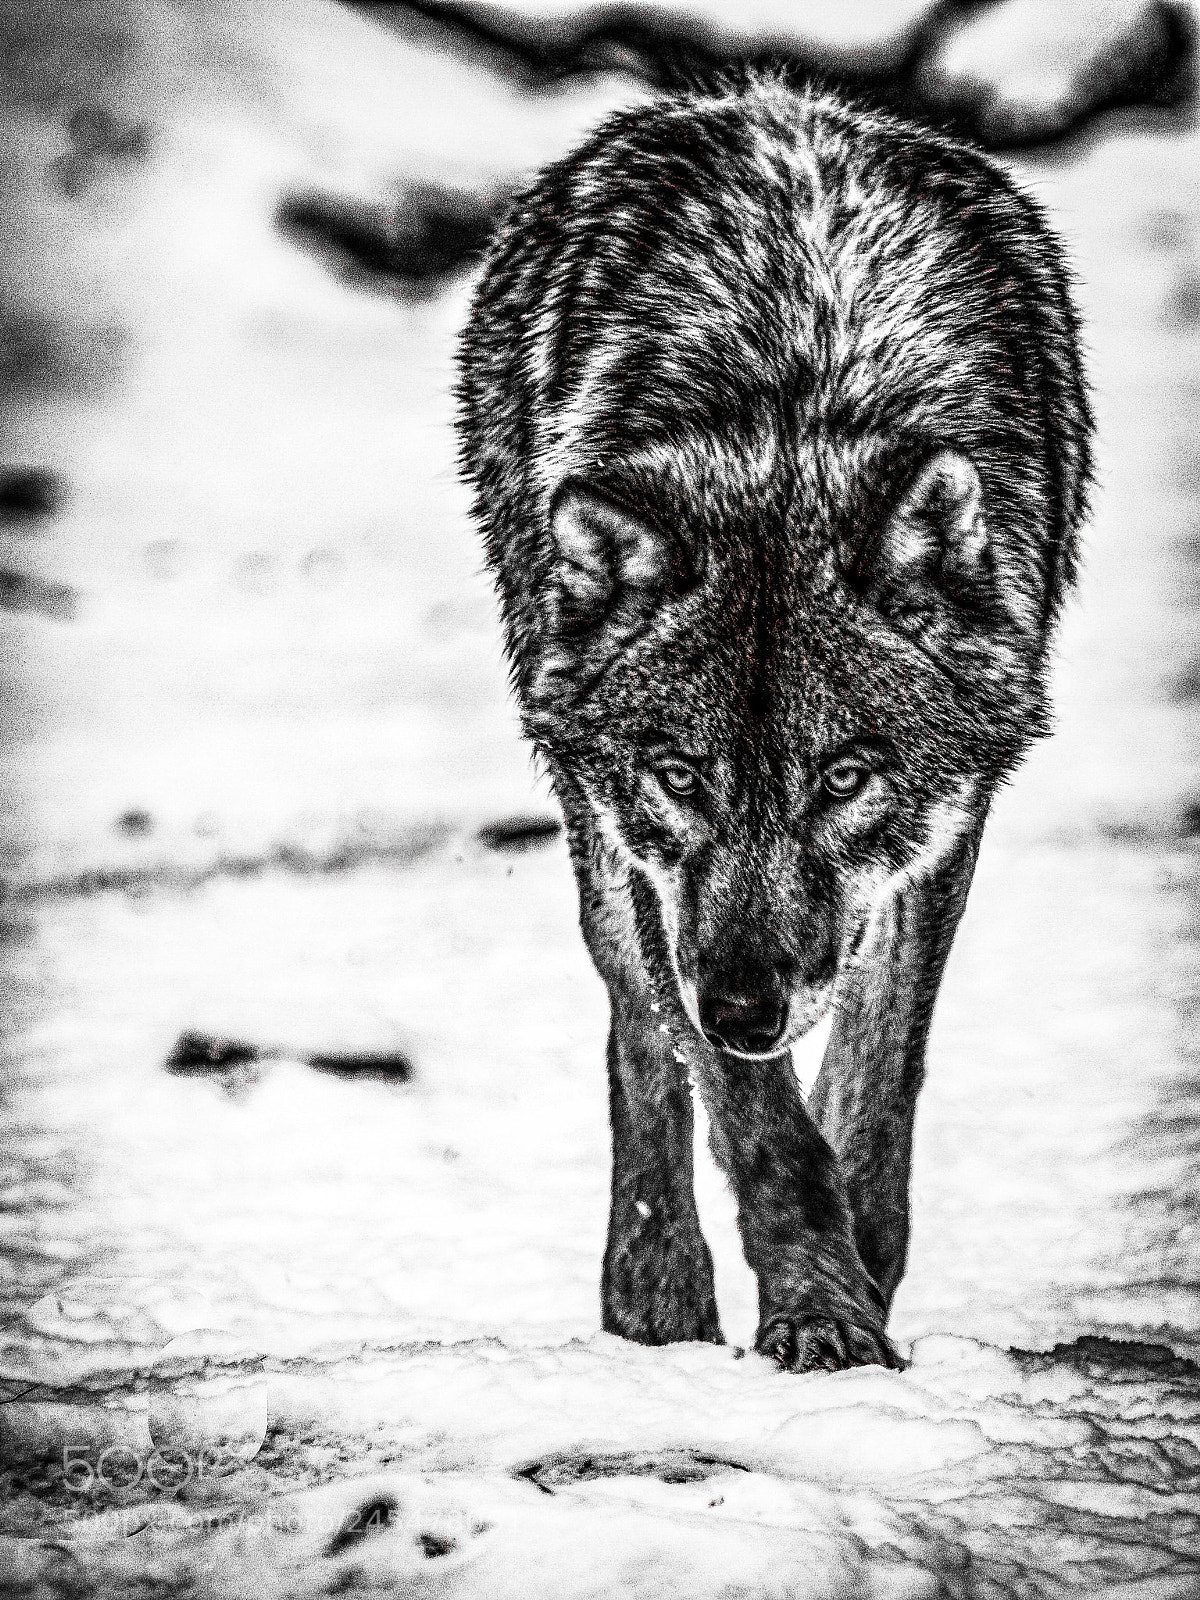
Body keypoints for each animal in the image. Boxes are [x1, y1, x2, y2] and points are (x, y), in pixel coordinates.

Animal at [456, 75, 1092, 1372]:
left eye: (844, 777)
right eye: (681, 776)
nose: (745, 1010)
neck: (794, 402)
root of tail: (753, 94)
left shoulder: (939, 842)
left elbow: (874, 1097)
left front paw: (863, 1290)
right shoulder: (664, 877)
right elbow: (760, 1126)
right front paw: (821, 1316)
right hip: (595, 832)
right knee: (637, 1025)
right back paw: (655, 1298)